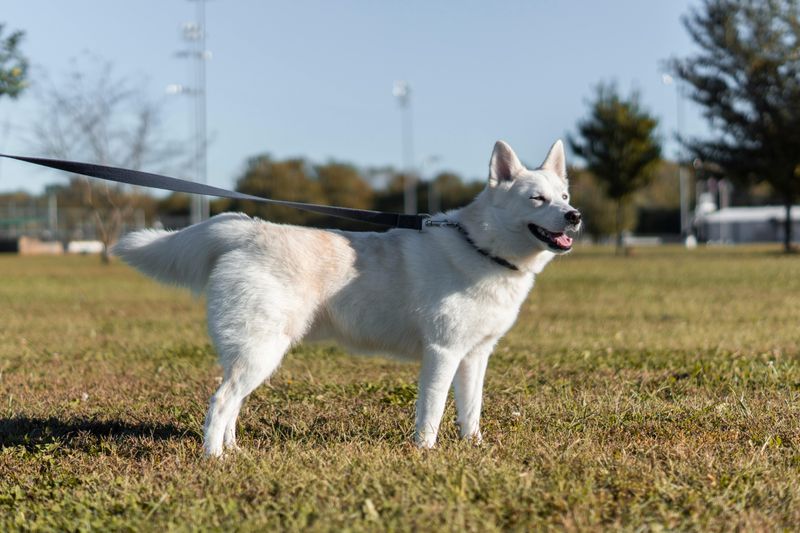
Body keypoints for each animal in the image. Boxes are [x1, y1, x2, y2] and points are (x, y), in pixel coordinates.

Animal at [114, 139, 580, 456]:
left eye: (564, 197)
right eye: (536, 199)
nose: (575, 216)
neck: (480, 248)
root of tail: (247, 229)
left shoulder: (475, 356)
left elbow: (471, 411)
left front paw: (474, 447)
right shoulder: (442, 353)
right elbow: (431, 414)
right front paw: (426, 455)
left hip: (253, 354)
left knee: (231, 404)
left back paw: (233, 451)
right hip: (262, 352)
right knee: (221, 401)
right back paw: (214, 459)